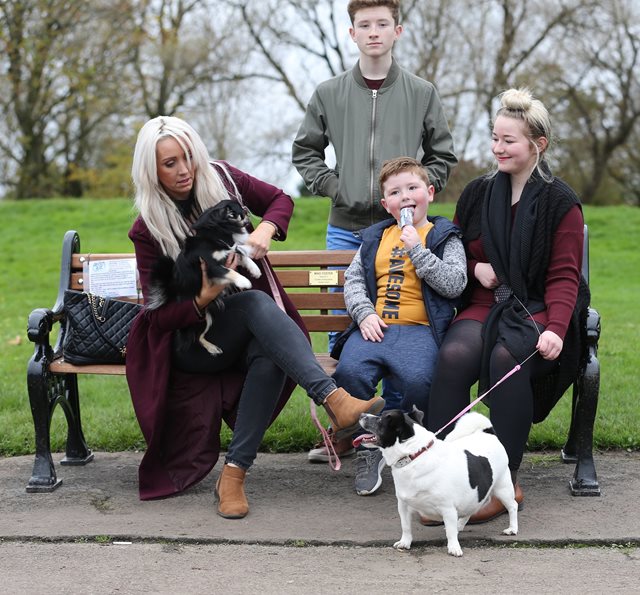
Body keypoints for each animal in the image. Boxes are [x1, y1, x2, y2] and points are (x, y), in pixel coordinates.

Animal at [149, 200, 262, 354]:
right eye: (240, 211)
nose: (246, 209)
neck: (217, 234)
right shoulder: (212, 266)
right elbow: (230, 271)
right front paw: (243, 281)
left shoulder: (229, 252)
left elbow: (241, 255)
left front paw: (255, 270)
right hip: (200, 317)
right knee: (197, 337)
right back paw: (212, 348)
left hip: (209, 315)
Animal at [358, 408, 516, 556]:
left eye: (380, 419)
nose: (361, 415)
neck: (414, 456)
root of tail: (488, 433)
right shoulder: (403, 506)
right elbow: (406, 526)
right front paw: (405, 542)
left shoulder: (447, 508)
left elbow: (450, 533)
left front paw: (454, 547)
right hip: (474, 494)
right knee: (471, 509)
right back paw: (460, 525)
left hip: (503, 488)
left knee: (512, 506)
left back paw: (512, 529)